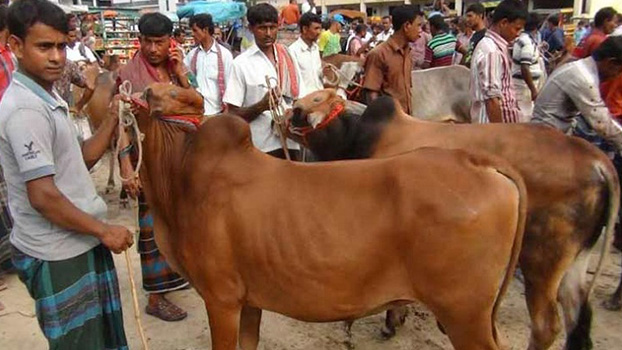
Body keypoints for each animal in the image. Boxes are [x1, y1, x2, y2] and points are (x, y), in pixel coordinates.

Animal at [134, 84, 528, 350]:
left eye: (176, 93)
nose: (147, 90)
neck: (180, 179)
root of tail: (477, 161)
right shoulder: (249, 302)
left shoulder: (222, 299)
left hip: (463, 313)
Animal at [286, 90, 620, 350]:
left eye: (313, 102)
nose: (291, 110)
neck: (359, 135)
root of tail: (597, 161)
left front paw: (390, 321)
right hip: (574, 261)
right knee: (578, 315)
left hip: (541, 259)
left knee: (545, 325)